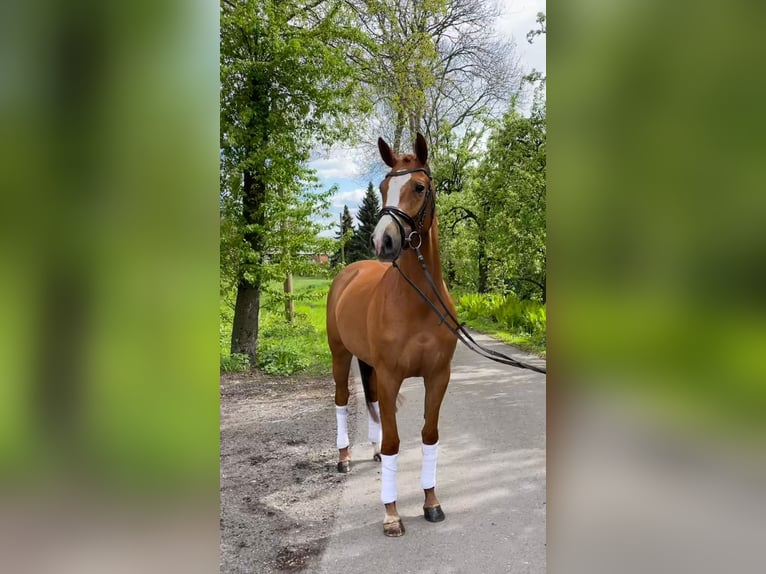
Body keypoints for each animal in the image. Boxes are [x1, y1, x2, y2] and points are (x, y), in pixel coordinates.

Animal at [326, 133, 456, 536]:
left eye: (419, 187)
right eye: (384, 188)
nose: (382, 241)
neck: (418, 303)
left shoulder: (438, 376)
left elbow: (429, 435)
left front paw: (431, 502)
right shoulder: (390, 375)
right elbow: (395, 442)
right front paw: (392, 513)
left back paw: (370, 451)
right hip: (340, 356)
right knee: (341, 401)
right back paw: (344, 458)